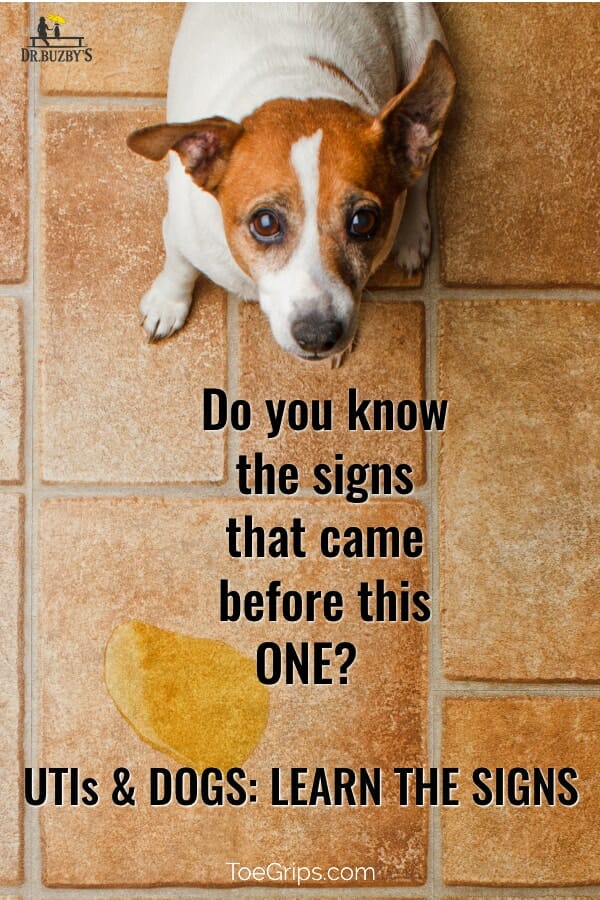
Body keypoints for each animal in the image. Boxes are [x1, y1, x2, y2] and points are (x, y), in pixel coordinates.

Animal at [127, 4, 454, 362]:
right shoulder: (181, 229)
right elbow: (180, 266)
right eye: (265, 223)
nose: (318, 336)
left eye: (363, 221)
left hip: (422, 42)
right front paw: (167, 303)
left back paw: (412, 231)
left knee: (420, 177)